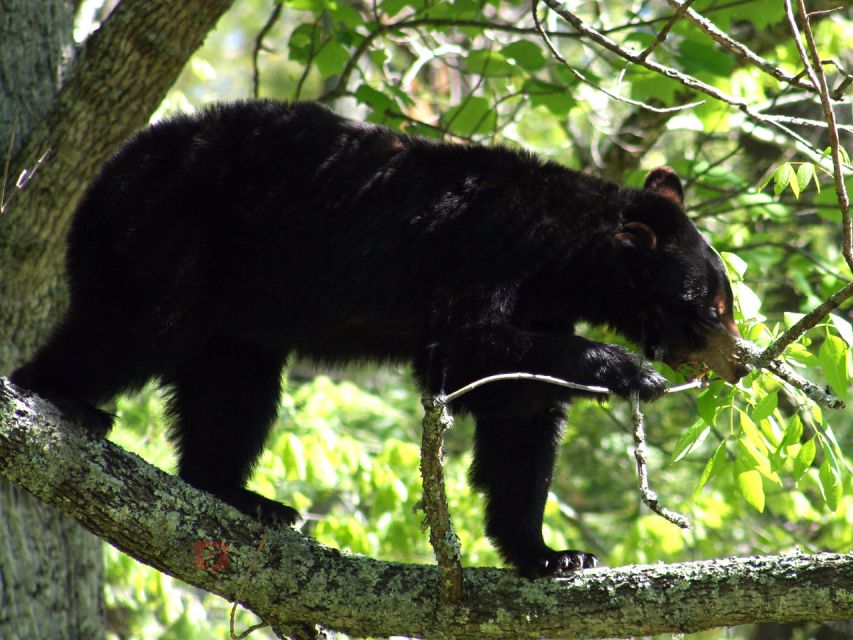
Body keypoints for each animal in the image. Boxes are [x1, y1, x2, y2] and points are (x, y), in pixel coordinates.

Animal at [11, 99, 744, 576]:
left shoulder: (541, 302)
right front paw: (624, 368)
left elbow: (522, 425)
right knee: (129, 328)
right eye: (708, 305)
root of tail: (104, 174)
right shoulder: (485, 255)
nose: (736, 364)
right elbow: (462, 355)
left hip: (236, 312)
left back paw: (243, 496)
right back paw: (58, 397)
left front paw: (552, 553)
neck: (563, 256)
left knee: (233, 393)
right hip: (169, 235)